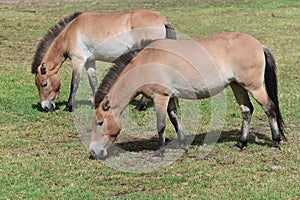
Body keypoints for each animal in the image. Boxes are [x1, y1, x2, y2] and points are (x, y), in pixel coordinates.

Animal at [31, 9, 176, 111]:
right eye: (37, 85)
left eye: (44, 84)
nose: (45, 107)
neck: (69, 33)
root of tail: (163, 20)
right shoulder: (89, 61)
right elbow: (93, 82)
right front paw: (96, 103)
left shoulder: (78, 61)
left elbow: (74, 84)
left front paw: (68, 107)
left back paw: (140, 106)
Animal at [88, 32, 286, 160]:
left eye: (100, 122)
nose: (93, 152)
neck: (145, 64)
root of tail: (259, 45)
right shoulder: (170, 98)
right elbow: (174, 119)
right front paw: (183, 146)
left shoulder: (161, 97)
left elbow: (161, 125)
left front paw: (159, 153)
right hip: (237, 86)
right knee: (247, 111)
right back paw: (240, 144)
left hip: (254, 87)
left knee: (269, 108)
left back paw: (275, 142)